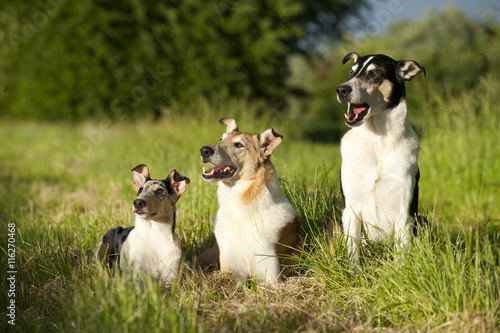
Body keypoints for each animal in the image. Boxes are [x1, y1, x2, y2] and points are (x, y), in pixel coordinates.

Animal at [197, 118, 302, 284]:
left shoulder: (271, 276)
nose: (204, 150)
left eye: (239, 145)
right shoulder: (230, 269)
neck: (239, 212)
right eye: (221, 139)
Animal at [336, 52, 426, 270]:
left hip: (422, 220)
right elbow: (353, 254)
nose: (341, 89)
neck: (378, 140)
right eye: (351, 72)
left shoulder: (404, 214)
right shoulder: (350, 210)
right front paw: (355, 275)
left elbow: (401, 255)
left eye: (374, 73)